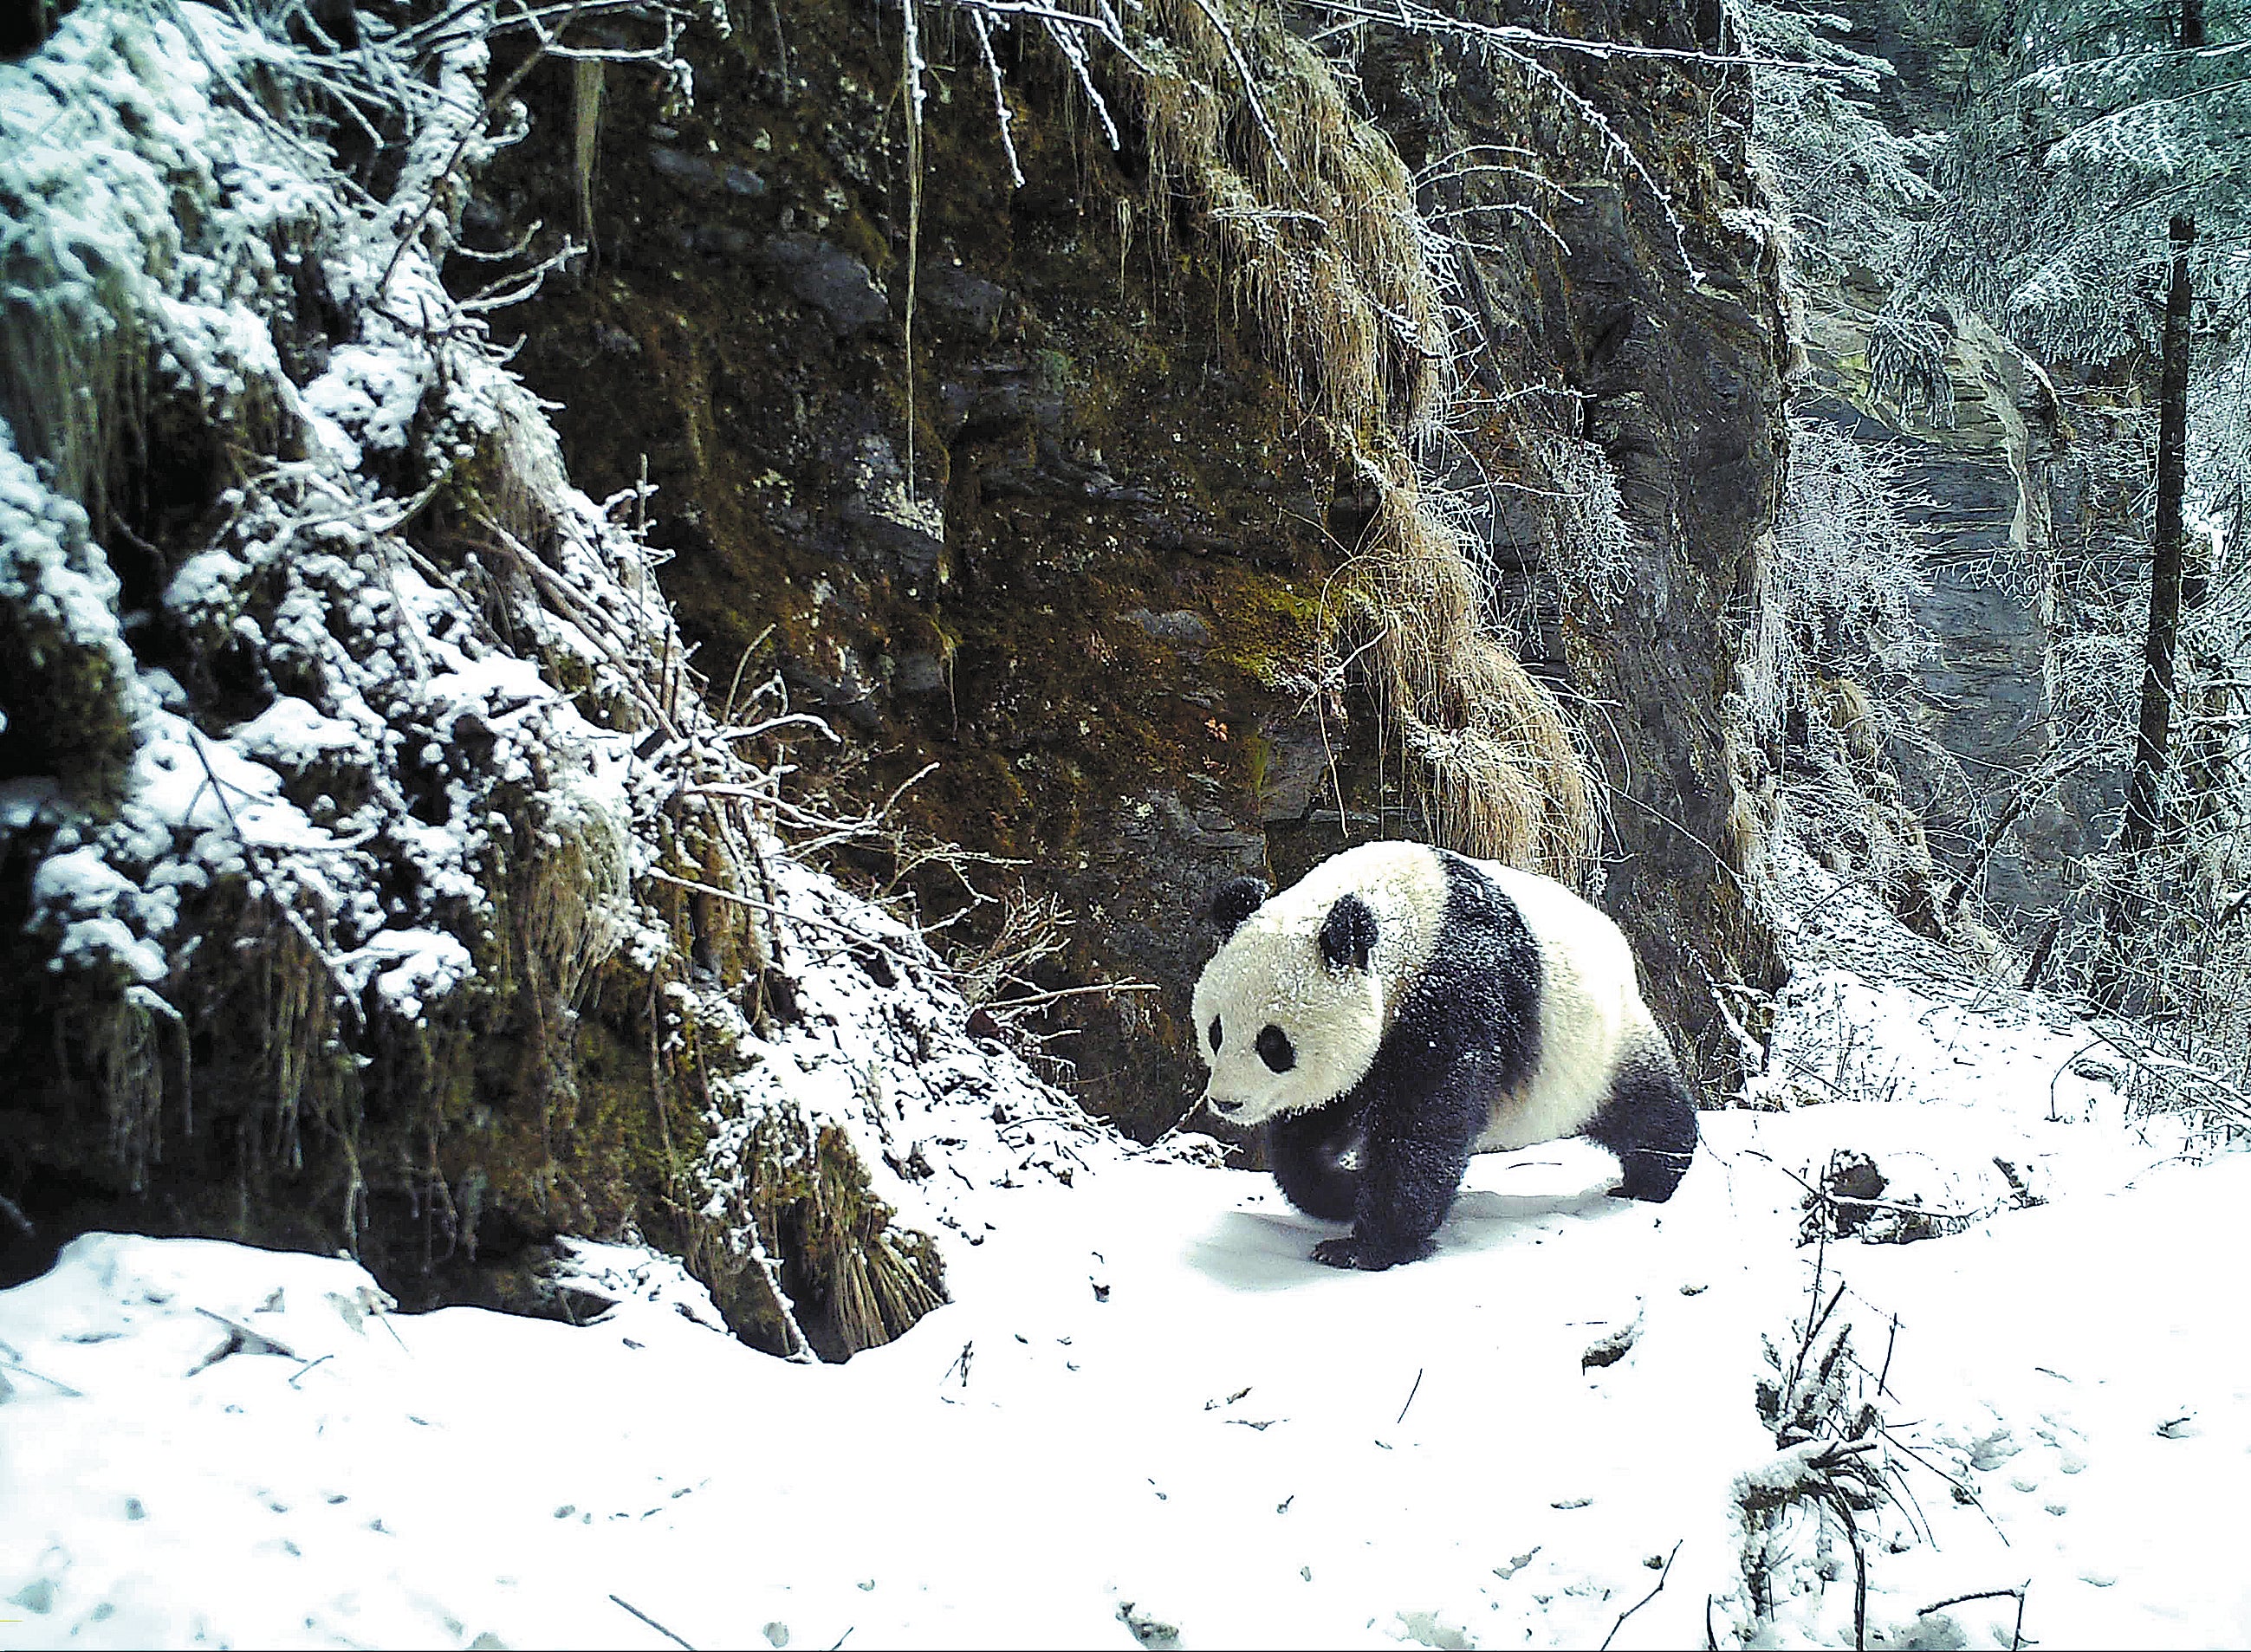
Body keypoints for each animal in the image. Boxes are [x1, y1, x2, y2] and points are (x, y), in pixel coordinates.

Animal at [1197, 845, 1692, 1278]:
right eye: (1216, 1031)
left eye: (1273, 1044)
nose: (1227, 1102)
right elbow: (1314, 1128)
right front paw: (1342, 1192)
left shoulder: (1457, 991)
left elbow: (1425, 1127)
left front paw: (1363, 1248)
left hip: (1595, 1047)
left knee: (1645, 1108)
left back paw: (1655, 1175)